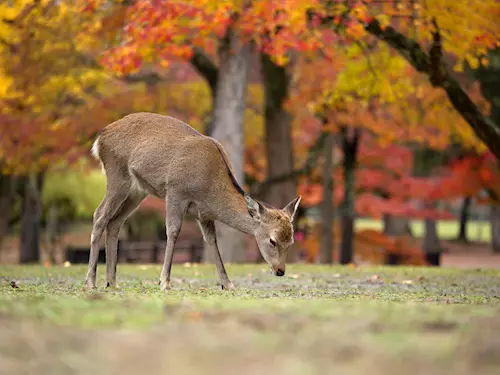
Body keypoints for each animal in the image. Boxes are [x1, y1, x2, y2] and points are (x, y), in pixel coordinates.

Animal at [85, 113, 300, 292]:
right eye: (272, 240)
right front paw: (164, 282)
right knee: (99, 215)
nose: (280, 270)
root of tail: (100, 138)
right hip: (117, 174)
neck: (209, 188)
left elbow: (212, 240)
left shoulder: (203, 214)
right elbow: (173, 232)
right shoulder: (175, 191)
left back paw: (111, 282)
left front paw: (227, 284)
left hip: (137, 191)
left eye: (291, 241)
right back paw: (90, 281)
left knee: (115, 222)